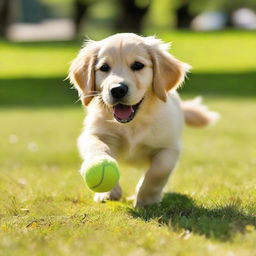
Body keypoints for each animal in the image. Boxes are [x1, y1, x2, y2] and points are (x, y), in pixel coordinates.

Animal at [68, 33, 218, 207]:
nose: (117, 90)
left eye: (138, 65)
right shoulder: (94, 134)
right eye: (104, 68)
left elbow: (158, 171)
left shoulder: (170, 147)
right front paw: (109, 190)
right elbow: (98, 148)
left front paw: (146, 199)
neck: (133, 124)